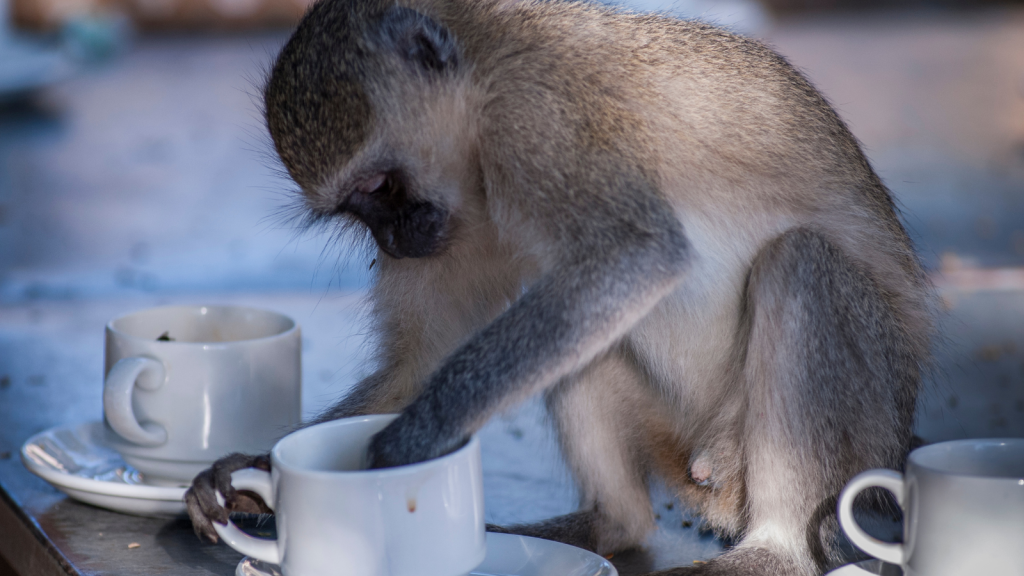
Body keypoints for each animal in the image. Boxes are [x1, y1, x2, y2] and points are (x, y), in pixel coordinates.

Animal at [184, 2, 929, 569]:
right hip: (673, 436)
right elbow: (425, 359)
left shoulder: (533, 124)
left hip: (855, 429)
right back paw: (607, 526)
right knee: (580, 339)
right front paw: (251, 473)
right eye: (356, 207)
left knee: (800, 264)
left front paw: (408, 444)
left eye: (378, 186)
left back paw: (774, 552)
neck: (483, 69)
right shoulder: (461, 220)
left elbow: (635, 257)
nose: (394, 244)